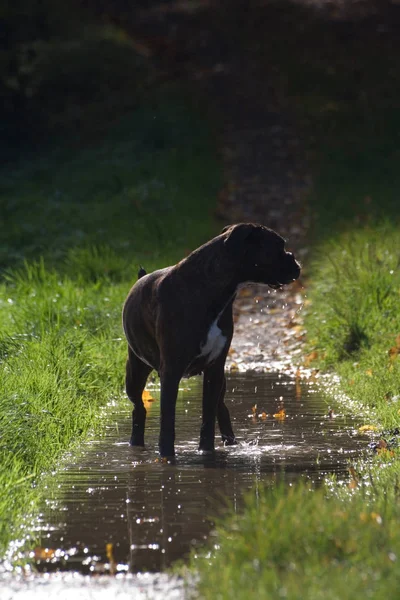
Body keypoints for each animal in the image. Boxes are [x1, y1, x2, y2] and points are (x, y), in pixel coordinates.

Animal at [122, 223, 300, 458]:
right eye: (279, 246)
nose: (295, 261)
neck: (209, 290)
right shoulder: (171, 372)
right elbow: (167, 420)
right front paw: (167, 455)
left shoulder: (215, 369)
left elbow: (207, 416)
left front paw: (206, 451)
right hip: (135, 373)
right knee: (139, 409)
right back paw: (136, 443)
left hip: (219, 380)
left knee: (220, 407)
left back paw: (231, 443)